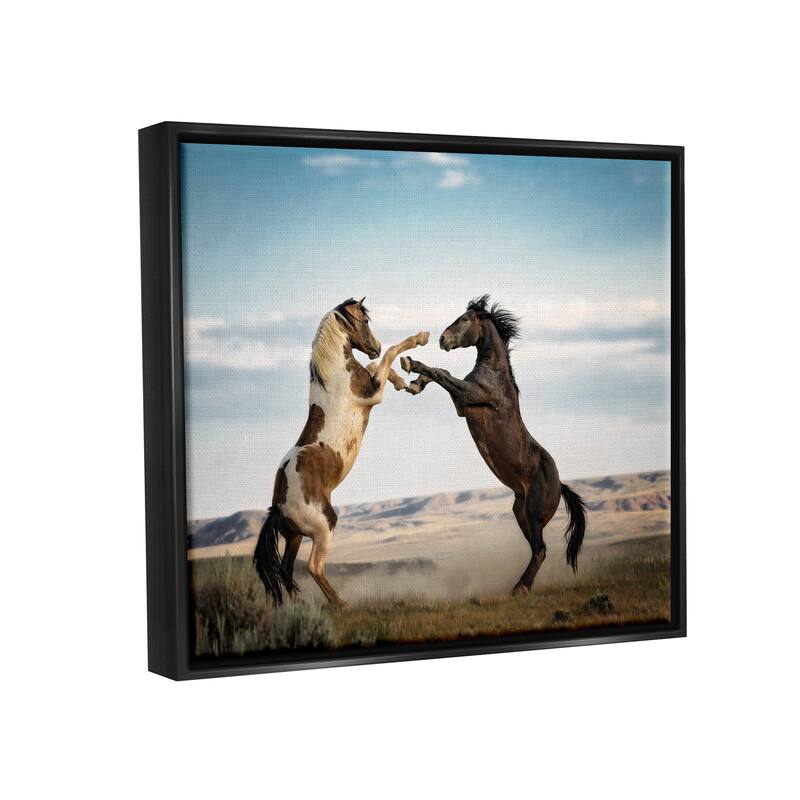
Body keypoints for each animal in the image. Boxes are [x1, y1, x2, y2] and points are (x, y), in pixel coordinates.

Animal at [254, 297, 429, 606]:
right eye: (365, 321)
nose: (375, 345)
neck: (336, 375)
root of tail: (278, 507)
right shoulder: (373, 393)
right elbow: (390, 354)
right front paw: (419, 338)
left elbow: (376, 363)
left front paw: (404, 383)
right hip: (324, 525)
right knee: (313, 567)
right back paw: (340, 603)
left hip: (295, 537)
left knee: (287, 570)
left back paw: (299, 608)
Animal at [400, 295, 587, 596]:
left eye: (464, 319)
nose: (442, 339)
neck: (494, 374)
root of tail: (560, 485)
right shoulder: (462, 405)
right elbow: (442, 374)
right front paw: (416, 384)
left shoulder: (469, 394)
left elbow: (442, 372)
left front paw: (410, 363)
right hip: (520, 512)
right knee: (536, 549)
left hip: (534, 513)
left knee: (541, 549)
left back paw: (520, 588)